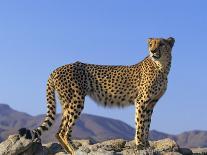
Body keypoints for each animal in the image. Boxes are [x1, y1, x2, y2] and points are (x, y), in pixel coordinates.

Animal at [19, 37, 175, 154]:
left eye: (161, 44)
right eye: (150, 44)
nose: (152, 51)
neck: (161, 67)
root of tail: (56, 69)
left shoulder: (151, 103)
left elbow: (147, 124)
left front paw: (147, 144)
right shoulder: (141, 101)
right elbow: (140, 124)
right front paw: (140, 145)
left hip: (67, 103)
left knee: (59, 131)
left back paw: (69, 151)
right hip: (76, 100)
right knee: (64, 131)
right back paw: (74, 150)